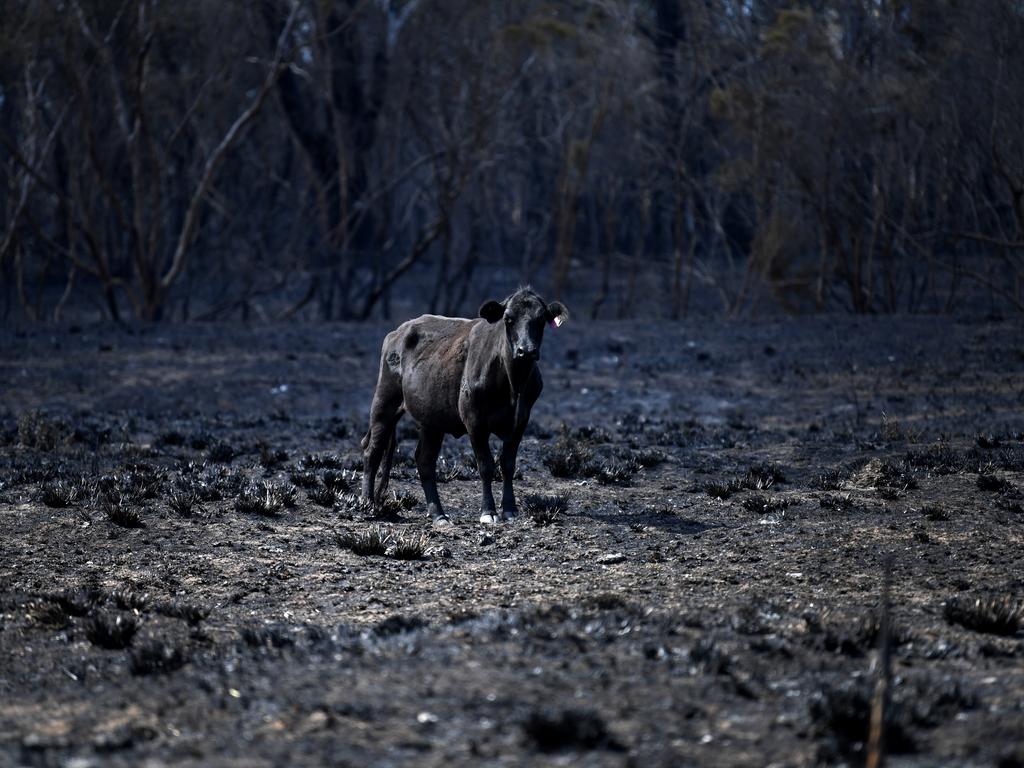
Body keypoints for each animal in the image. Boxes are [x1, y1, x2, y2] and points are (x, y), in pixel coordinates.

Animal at [360, 286, 569, 528]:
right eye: (508, 319)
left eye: (541, 320)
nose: (526, 351)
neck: (513, 384)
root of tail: (398, 331)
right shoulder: (473, 418)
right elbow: (485, 465)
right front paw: (488, 512)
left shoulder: (521, 421)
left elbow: (508, 464)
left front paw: (509, 509)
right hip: (385, 401)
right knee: (372, 451)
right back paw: (367, 502)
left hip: (431, 419)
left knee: (424, 461)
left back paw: (438, 514)